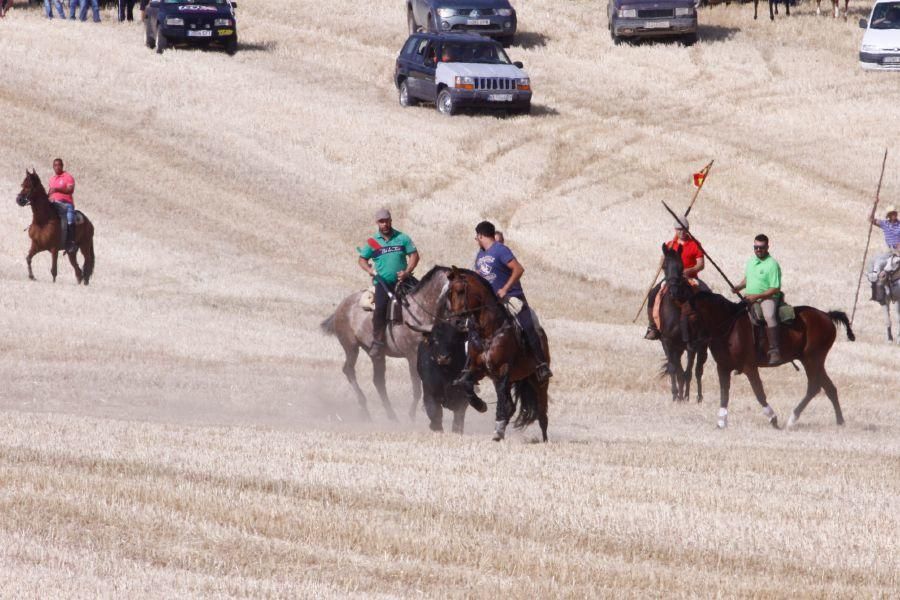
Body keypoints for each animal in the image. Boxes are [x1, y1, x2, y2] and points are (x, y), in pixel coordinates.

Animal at [322, 268, 454, 422]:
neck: (420, 312)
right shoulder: (412, 356)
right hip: (351, 347)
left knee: (378, 381)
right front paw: (412, 416)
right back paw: (365, 409)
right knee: (349, 370)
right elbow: (417, 387)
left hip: (375, 354)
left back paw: (391, 415)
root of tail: (342, 306)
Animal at [446, 268, 552, 440]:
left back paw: (545, 440)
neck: (489, 331)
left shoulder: (503, 368)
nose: (455, 322)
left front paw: (498, 428)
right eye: (448, 293)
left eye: (461, 291)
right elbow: (466, 384)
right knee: (511, 405)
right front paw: (480, 405)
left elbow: (502, 400)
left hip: (538, 381)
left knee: (542, 414)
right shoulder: (479, 369)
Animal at [652, 244, 712, 404]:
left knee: (698, 370)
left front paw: (685, 396)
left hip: (702, 346)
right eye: (664, 266)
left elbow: (688, 372)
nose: (673, 291)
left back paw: (698, 397)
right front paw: (675, 395)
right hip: (678, 347)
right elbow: (674, 369)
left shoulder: (691, 344)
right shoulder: (667, 342)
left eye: (681, 267)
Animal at [688, 292, 856, 428]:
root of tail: (826, 315)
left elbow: (759, 392)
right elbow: (724, 393)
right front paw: (721, 422)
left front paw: (773, 419)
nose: (690, 344)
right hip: (814, 361)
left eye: (692, 316)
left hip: (812, 359)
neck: (729, 327)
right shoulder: (723, 367)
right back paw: (840, 421)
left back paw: (792, 419)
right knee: (829, 388)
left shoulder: (749, 367)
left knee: (814, 386)